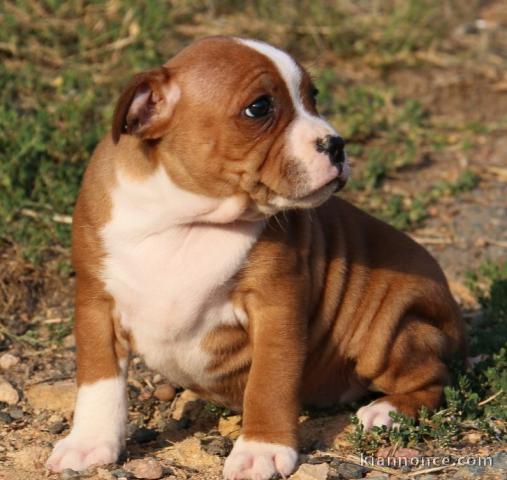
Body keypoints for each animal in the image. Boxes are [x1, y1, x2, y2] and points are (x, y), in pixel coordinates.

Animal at [45, 35, 466, 478]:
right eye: (259, 108)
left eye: (313, 96)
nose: (336, 144)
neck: (186, 217)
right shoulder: (96, 302)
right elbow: (99, 380)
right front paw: (89, 442)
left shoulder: (275, 307)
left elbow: (269, 381)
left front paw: (261, 448)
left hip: (384, 330)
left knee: (432, 375)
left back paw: (387, 410)